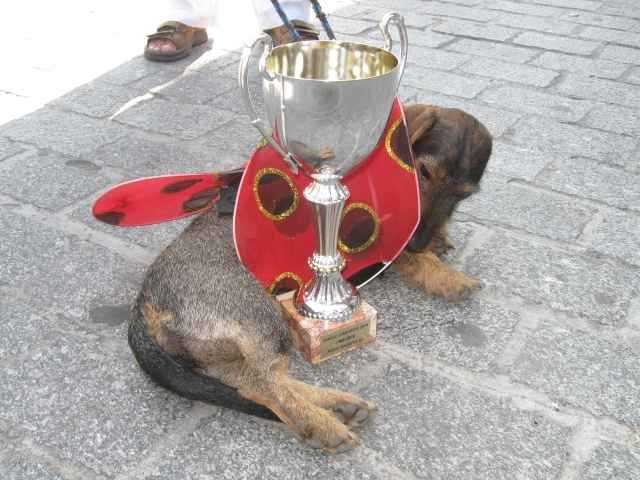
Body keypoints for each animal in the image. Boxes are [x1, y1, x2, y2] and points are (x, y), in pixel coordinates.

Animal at [127, 103, 492, 452]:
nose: (420, 241)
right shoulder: (378, 244)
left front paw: (441, 240)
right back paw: (321, 425)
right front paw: (451, 277)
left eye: (464, 195)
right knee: (262, 383)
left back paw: (339, 404)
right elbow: (412, 260)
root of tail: (145, 302)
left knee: (249, 380)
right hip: (261, 315)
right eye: (424, 172)